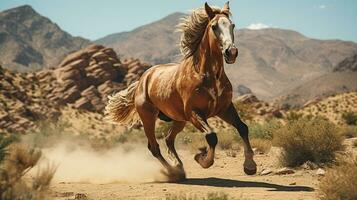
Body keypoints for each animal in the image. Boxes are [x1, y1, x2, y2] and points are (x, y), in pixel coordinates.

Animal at [105, 1, 256, 182]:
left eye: (232, 25)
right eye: (214, 26)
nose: (231, 52)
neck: (206, 75)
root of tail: (143, 80)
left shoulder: (224, 108)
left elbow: (243, 128)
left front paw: (250, 166)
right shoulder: (194, 113)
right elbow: (211, 136)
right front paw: (201, 159)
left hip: (178, 120)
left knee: (168, 140)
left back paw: (178, 166)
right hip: (149, 117)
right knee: (154, 147)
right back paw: (174, 172)